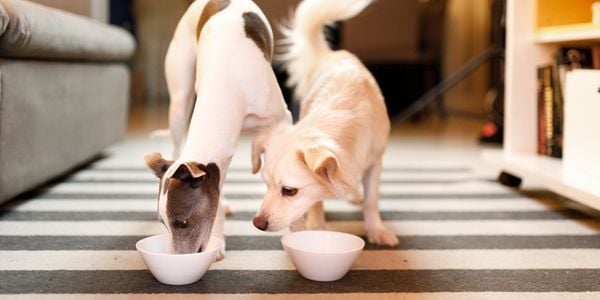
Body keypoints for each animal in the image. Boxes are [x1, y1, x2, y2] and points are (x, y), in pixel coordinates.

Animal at [144, 0, 292, 258]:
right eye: (162, 224)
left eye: (182, 222)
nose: (174, 259)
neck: (230, 82)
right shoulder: (219, 163)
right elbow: (216, 197)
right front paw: (218, 241)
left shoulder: (283, 119)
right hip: (179, 103)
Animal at [250, 0, 398, 245]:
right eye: (265, 184)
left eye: (289, 190)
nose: (258, 224)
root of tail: (331, 53)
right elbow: (317, 202)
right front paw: (316, 227)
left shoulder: (375, 160)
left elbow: (372, 200)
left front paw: (376, 229)